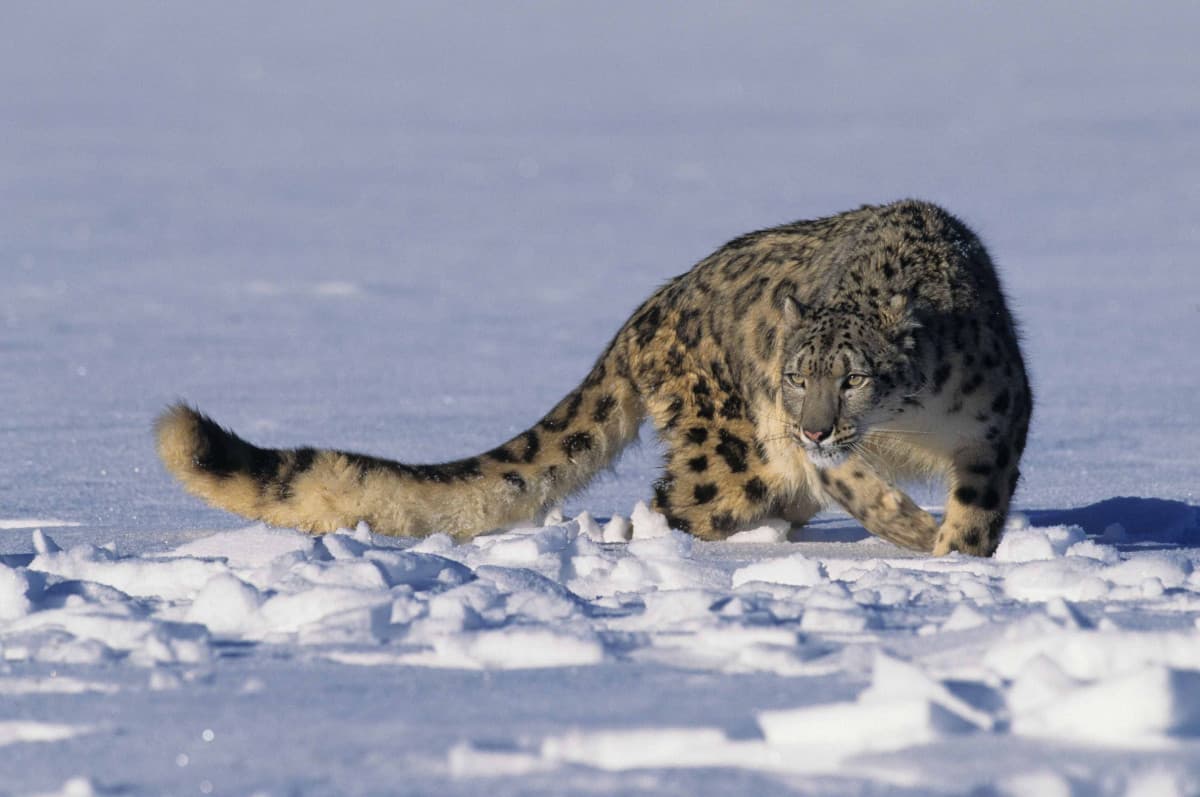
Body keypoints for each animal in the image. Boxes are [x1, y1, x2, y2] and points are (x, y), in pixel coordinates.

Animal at [154, 200, 1027, 554]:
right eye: (795, 373)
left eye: (853, 378)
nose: (813, 423)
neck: (911, 428)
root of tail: (652, 304)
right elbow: (861, 485)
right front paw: (916, 532)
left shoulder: (995, 418)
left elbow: (980, 505)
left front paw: (959, 551)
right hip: (730, 456)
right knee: (677, 505)